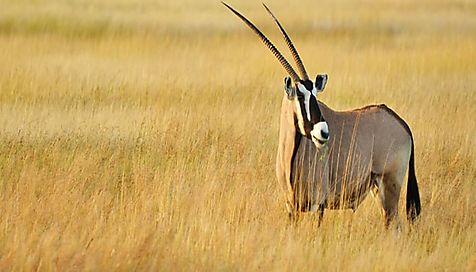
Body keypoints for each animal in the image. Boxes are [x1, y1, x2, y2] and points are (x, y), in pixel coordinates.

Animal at [223, 2, 420, 227]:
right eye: (300, 95)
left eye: (315, 94)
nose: (324, 132)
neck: (292, 154)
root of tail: (401, 123)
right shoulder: (291, 207)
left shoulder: (319, 204)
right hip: (378, 189)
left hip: (389, 185)